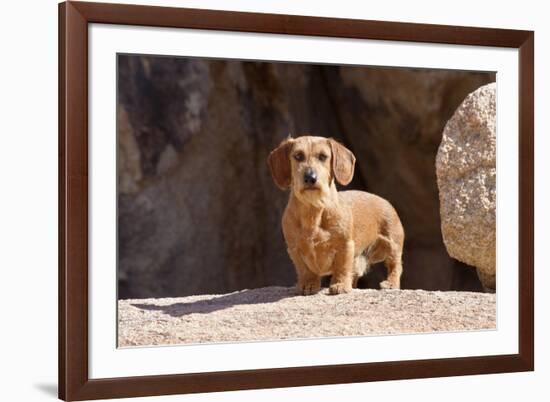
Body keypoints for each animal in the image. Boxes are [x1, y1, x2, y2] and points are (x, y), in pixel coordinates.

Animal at [270, 135, 408, 296]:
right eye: (298, 156)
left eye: (323, 156)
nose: (310, 177)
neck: (314, 211)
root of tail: (386, 201)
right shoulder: (294, 249)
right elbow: (305, 269)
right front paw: (308, 284)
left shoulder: (345, 245)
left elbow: (341, 267)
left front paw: (340, 285)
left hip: (392, 243)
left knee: (395, 264)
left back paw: (391, 283)